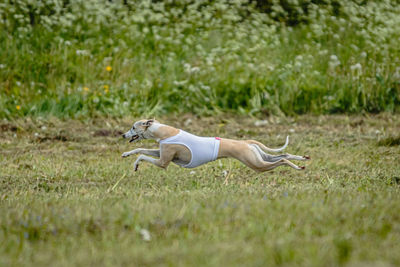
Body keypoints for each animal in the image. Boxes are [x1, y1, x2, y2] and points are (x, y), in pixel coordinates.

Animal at [121, 120, 310, 174]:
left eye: (133, 127)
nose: (122, 135)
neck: (164, 132)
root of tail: (246, 142)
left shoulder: (163, 162)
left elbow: (142, 155)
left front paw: (135, 165)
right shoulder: (161, 152)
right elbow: (139, 150)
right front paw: (125, 154)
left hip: (257, 164)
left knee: (282, 160)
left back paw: (298, 166)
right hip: (260, 158)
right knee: (285, 154)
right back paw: (302, 159)